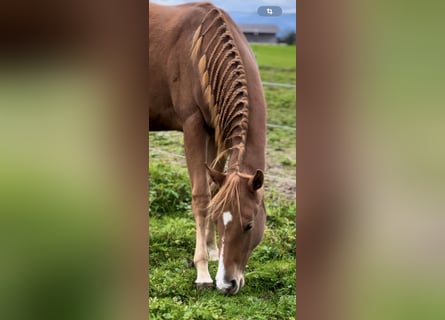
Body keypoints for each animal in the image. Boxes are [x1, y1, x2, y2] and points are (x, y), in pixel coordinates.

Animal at [149, 1, 268, 296]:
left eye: (249, 224)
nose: (227, 283)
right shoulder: (193, 125)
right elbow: (201, 196)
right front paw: (202, 271)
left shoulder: (216, 131)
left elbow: (215, 189)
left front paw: (213, 251)